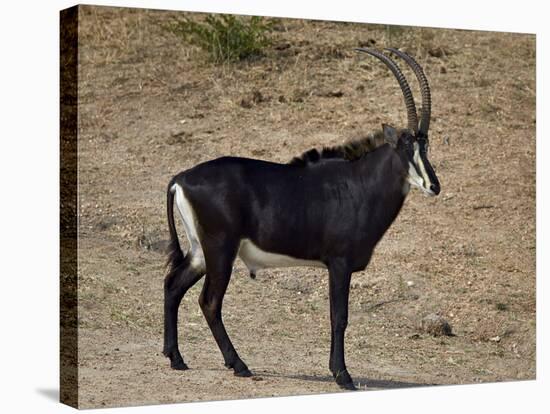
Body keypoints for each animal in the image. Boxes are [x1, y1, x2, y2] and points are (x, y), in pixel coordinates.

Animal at [164, 47, 444, 390]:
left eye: (425, 146)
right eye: (405, 148)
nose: (434, 186)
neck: (359, 184)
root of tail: (181, 178)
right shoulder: (339, 263)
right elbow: (339, 317)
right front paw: (342, 375)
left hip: (201, 252)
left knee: (173, 285)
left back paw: (176, 359)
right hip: (220, 250)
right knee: (209, 302)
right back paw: (239, 364)